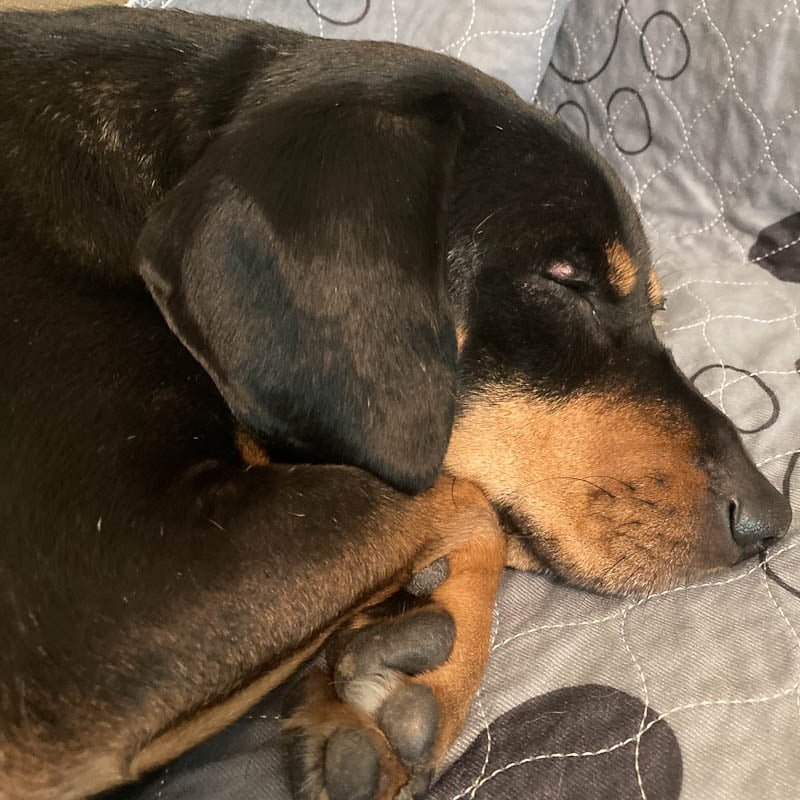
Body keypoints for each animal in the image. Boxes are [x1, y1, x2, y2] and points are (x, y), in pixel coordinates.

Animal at [0, 7, 788, 800]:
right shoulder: (109, 601)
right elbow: (457, 500)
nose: (771, 519)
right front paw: (425, 655)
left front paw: (410, 663)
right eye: (564, 278)